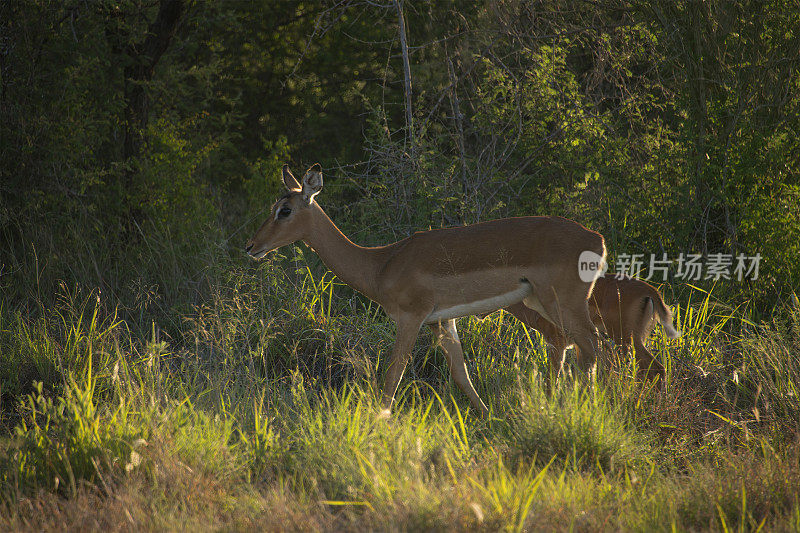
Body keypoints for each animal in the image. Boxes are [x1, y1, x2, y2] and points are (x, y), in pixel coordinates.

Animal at [245, 164, 608, 418]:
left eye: (285, 210)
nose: (251, 247)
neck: (381, 264)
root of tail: (596, 239)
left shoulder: (411, 317)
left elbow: (393, 373)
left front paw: (380, 423)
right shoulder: (441, 321)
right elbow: (461, 373)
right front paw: (490, 419)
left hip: (561, 302)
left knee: (590, 345)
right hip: (538, 302)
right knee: (573, 345)